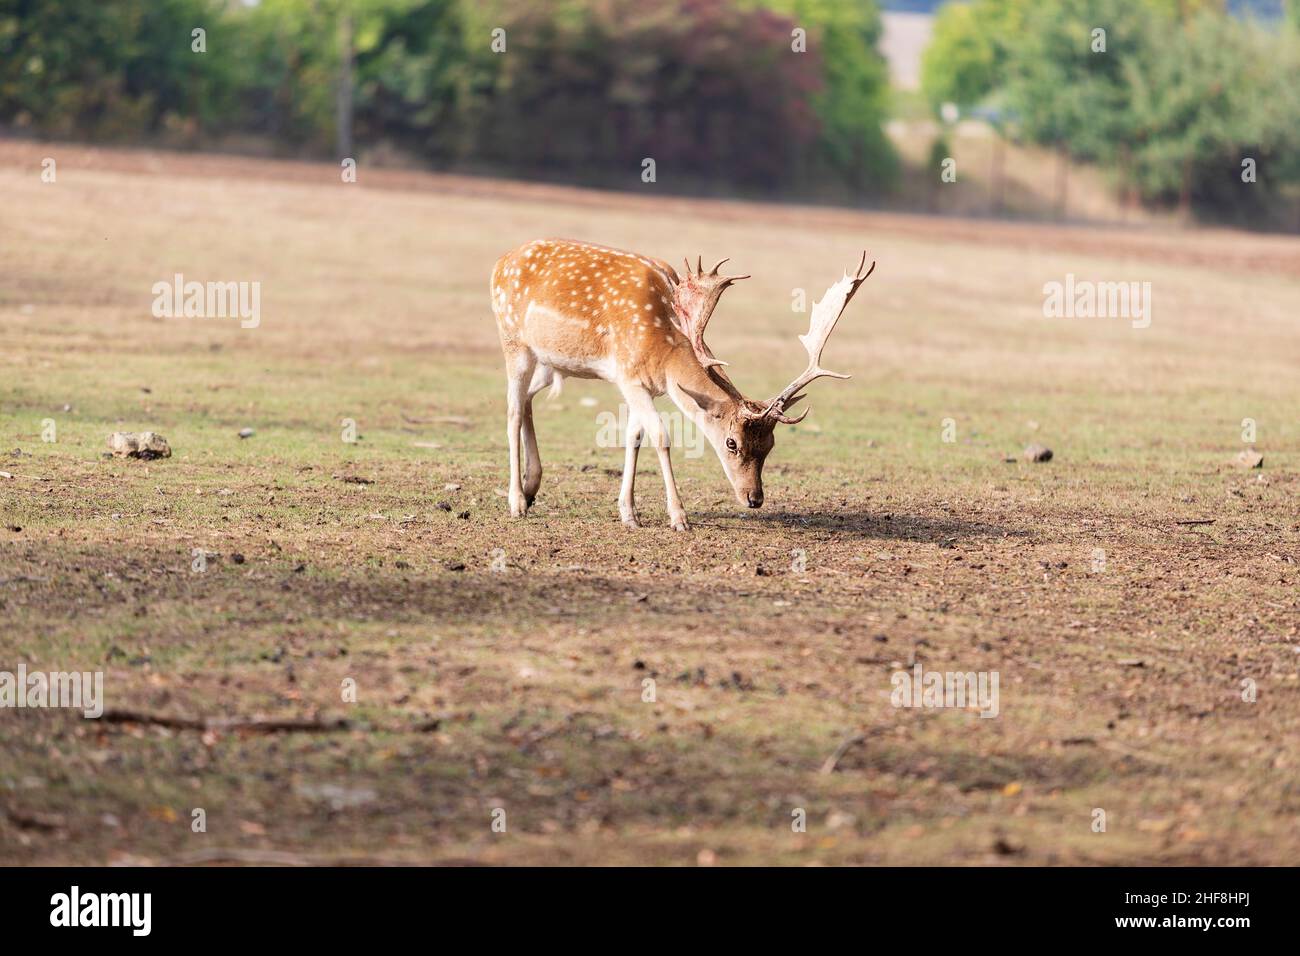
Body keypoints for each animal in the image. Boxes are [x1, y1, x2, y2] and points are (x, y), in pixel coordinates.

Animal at [488, 239, 873, 530]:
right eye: (732, 443)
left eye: (771, 445)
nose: (754, 498)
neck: (664, 352)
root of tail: (500, 262)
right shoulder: (628, 375)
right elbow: (660, 436)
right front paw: (678, 517)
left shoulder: (640, 385)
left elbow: (634, 436)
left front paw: (629, 514)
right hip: (513, 342)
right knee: (511, 411)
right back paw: (517, 502)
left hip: (551, 362)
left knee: (526, 401)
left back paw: (532, 486)